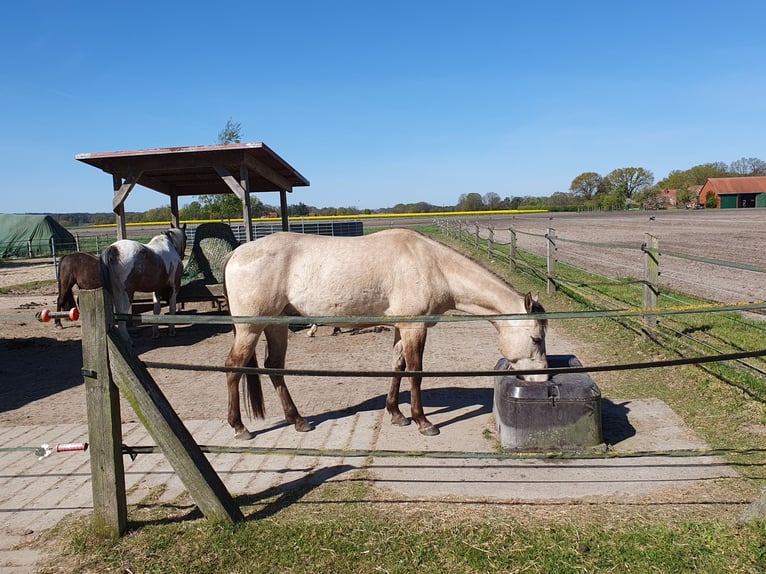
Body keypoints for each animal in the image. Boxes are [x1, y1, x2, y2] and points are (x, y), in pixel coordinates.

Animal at [223, 228, 548, 440]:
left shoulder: (401, 328)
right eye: (536, 338)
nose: (543, 379)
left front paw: (396, 414)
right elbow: (416, 372)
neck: (433, 265)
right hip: (250, 328)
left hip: (276, 326)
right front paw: (422, 421)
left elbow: (398, 367)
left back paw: (298, 420)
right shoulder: (414, 327)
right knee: (233, 368)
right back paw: (239, 428)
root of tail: (237, 253)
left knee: (274, 368)